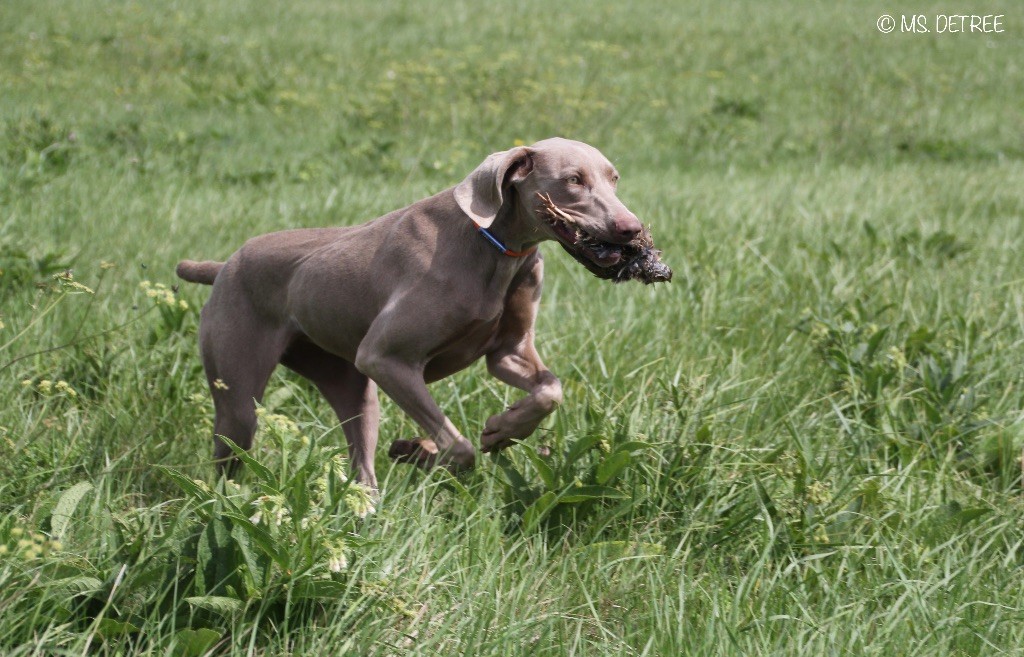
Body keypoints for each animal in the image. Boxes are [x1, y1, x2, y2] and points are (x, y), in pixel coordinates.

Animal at [174, 138, 638, 487]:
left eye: (614, 179)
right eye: (573, 180)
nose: (631, 229)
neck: (494, 247)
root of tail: (224, 266)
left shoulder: (507, 351)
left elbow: (549, 390)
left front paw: (503, 431)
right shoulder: (385, 358)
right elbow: (460, 448)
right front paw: (418, 451)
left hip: (350, 386)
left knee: (362, 469)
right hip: (239, 396)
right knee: (232, 451)